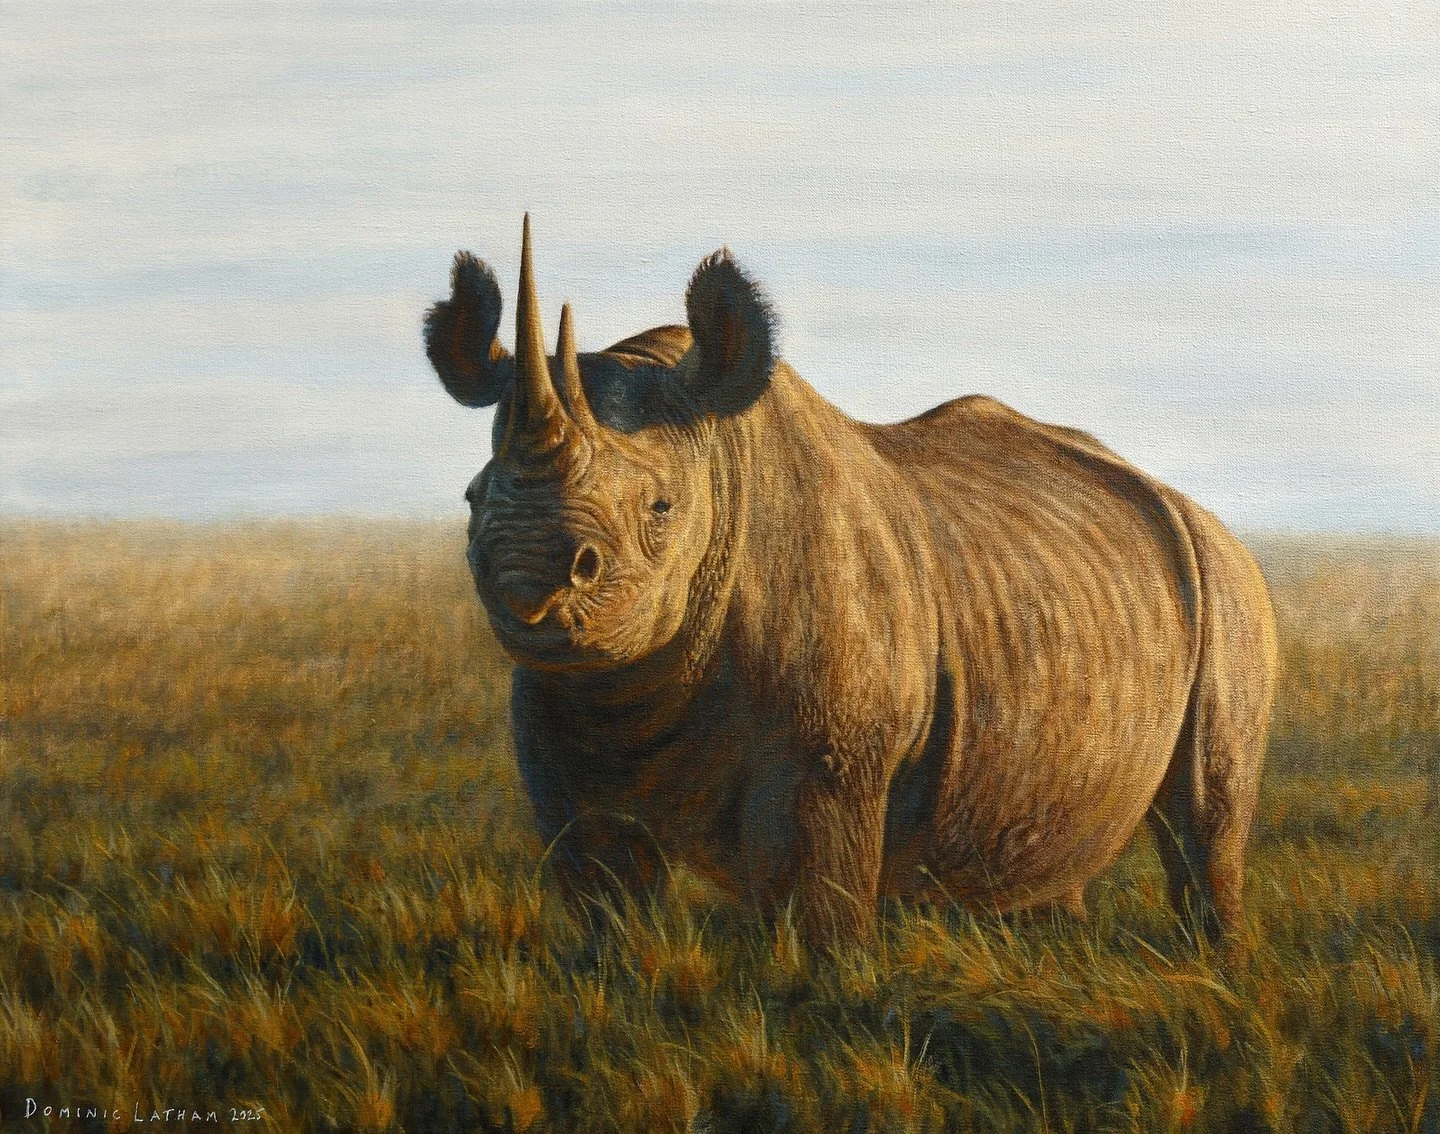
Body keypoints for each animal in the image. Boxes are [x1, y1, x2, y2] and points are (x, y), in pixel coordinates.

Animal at [425, 216, 1277, 945]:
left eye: (660, 508)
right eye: (471, 497)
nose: (527, 583)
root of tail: (1196, 513)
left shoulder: (830, 760)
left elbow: (820, 915)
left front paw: (826, 992)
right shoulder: (564, 758)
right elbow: (606, 910)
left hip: (1230, 588)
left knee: (1207, 815)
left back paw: (1218, 958)